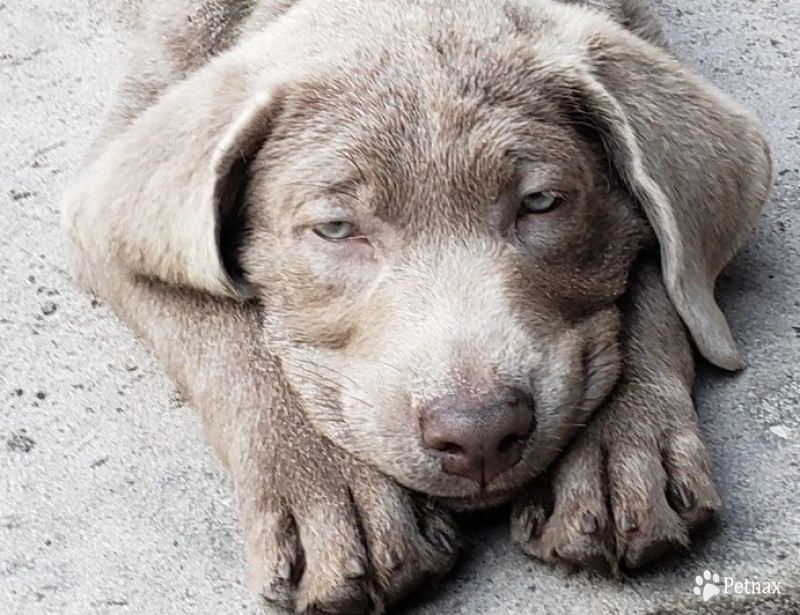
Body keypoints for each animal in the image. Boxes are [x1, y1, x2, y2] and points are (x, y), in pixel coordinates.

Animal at [59, 2, 772, 612]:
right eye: (337, 228)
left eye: (541, 203)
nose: (479, 432)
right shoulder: (106, 188)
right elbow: (216, 314)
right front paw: (335, 496)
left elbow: (664, 271)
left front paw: (620, 455)